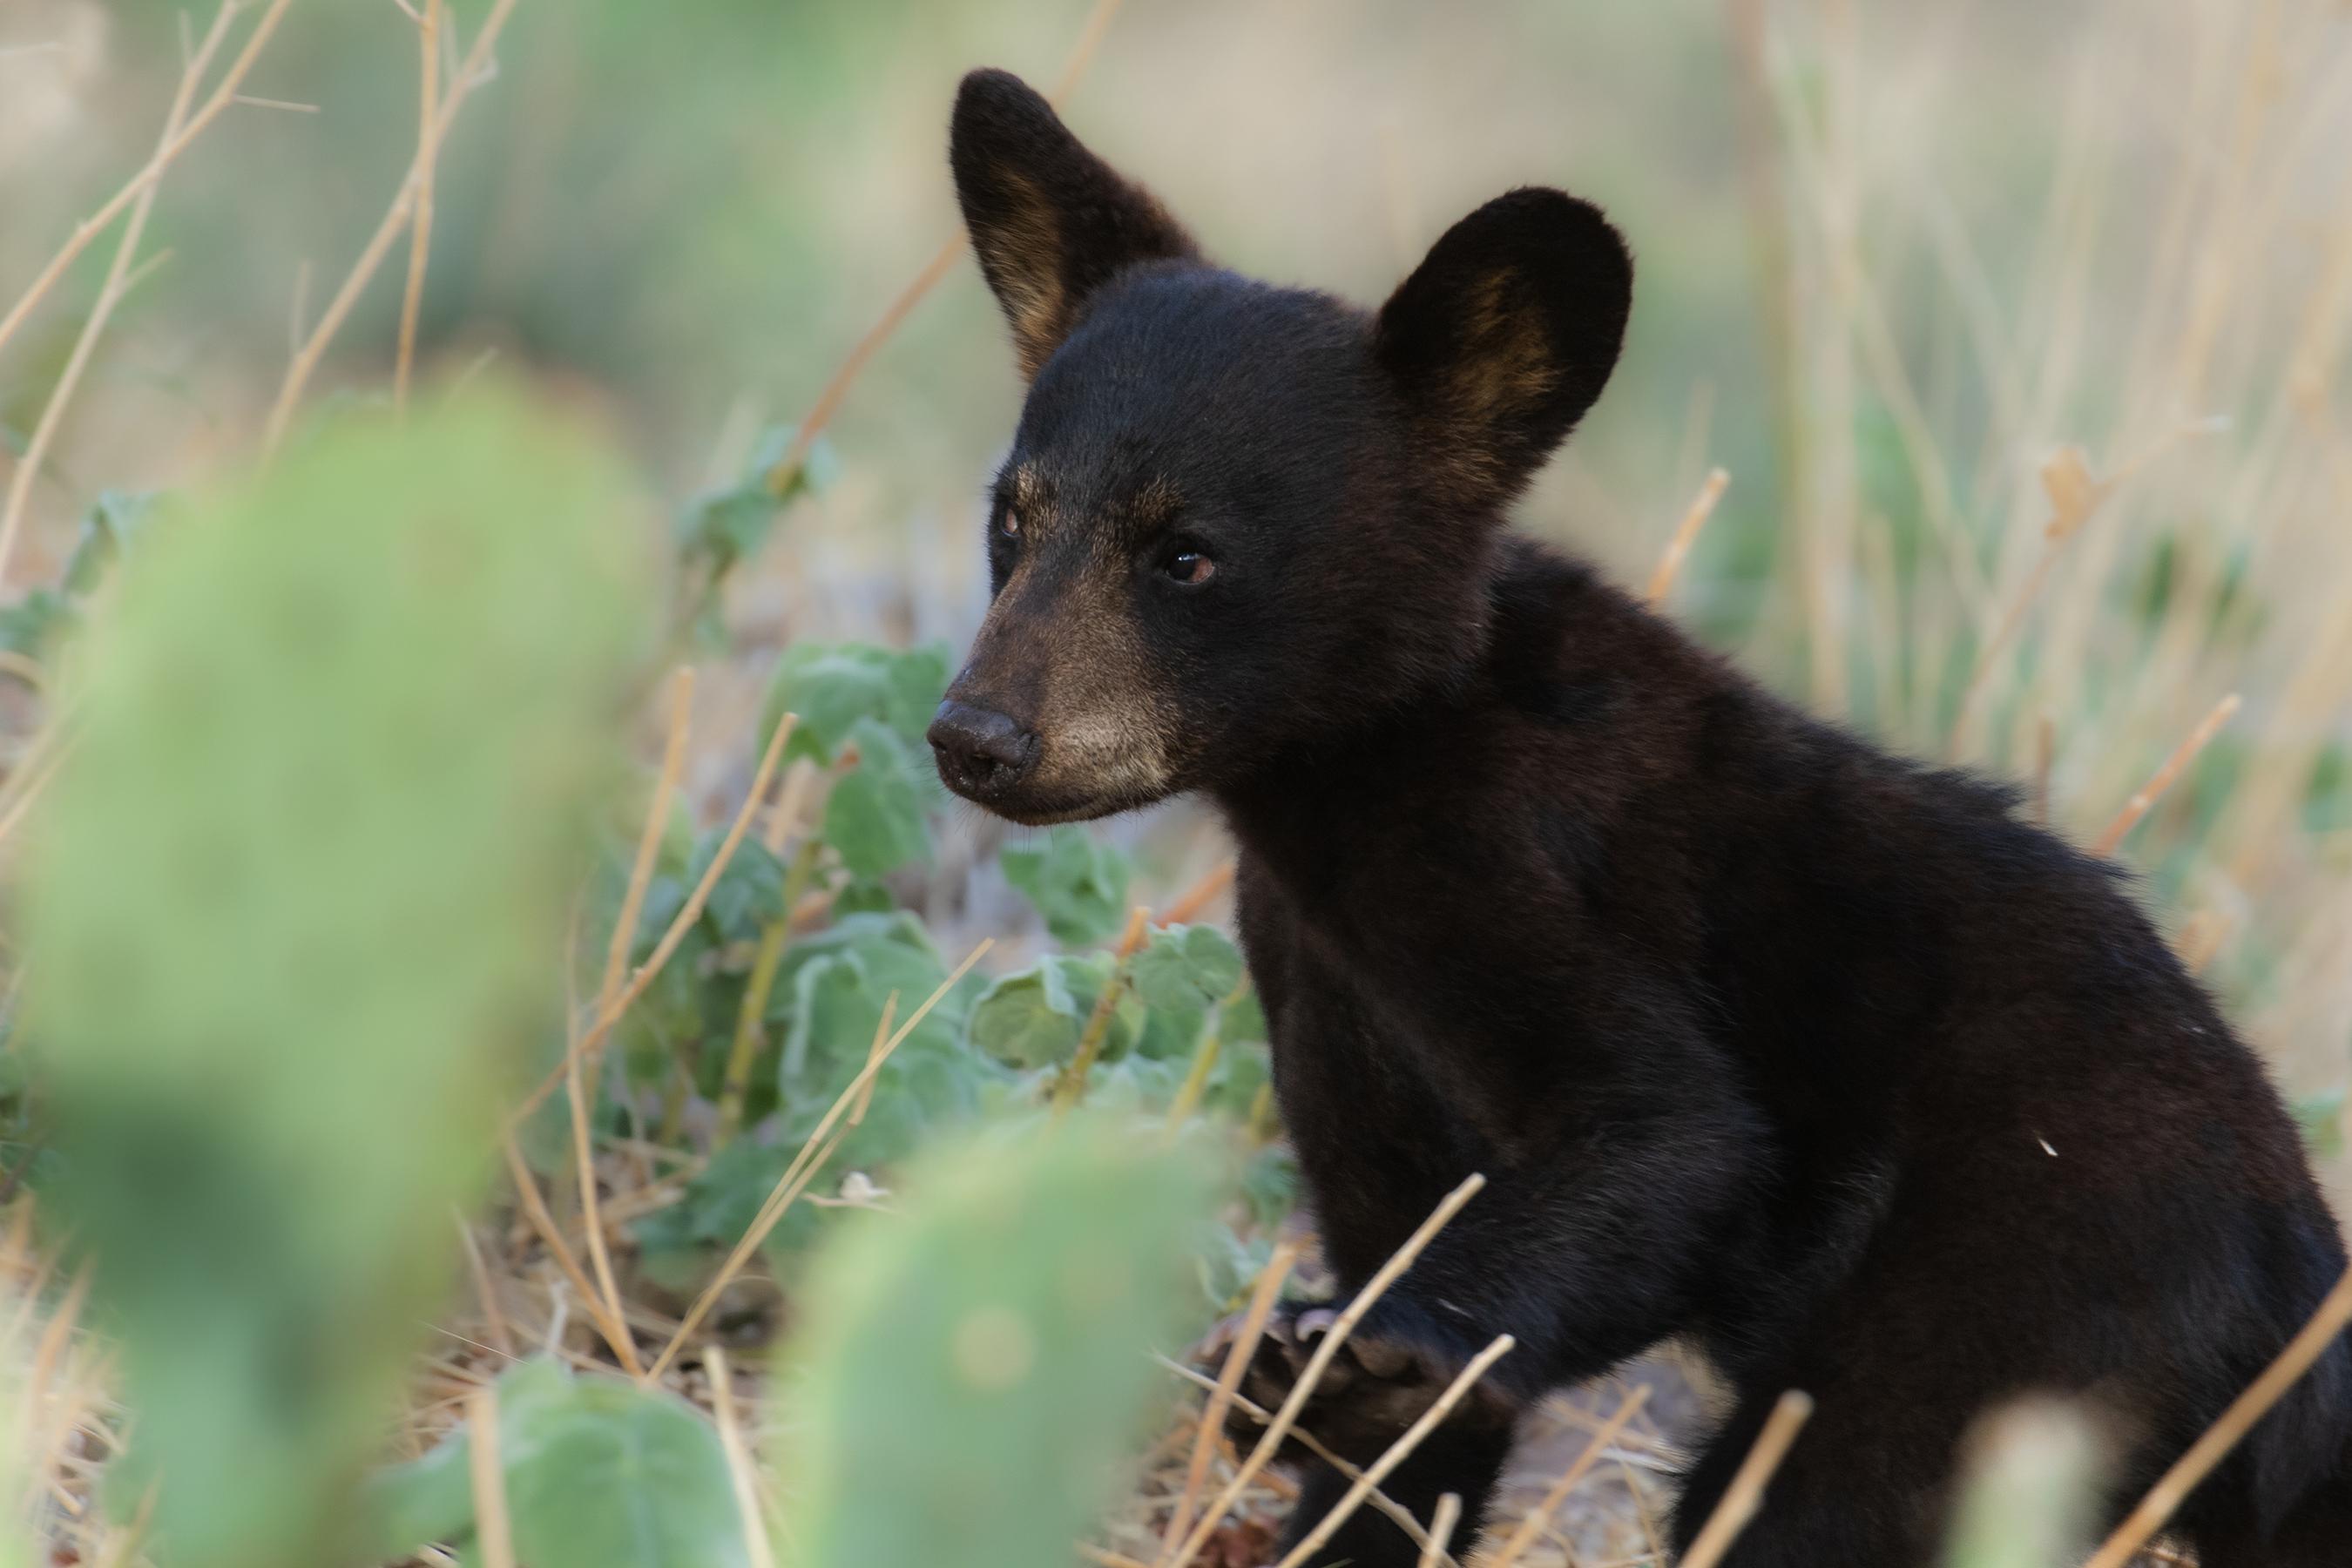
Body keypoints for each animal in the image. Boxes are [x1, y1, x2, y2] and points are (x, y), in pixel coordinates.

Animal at [926, 66, 2352, 1568]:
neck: (1352, 783)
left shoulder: (1506, 870)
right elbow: (1406, 1368)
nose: (976, 737)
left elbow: (1680, 1136)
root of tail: (2298, 1300)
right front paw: (1351, 1432)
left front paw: (1362, 1356)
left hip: (2020, 1289)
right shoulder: (1331, 1001)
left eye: (1188, 556)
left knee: (1830, 1489)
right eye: (1010, 523)